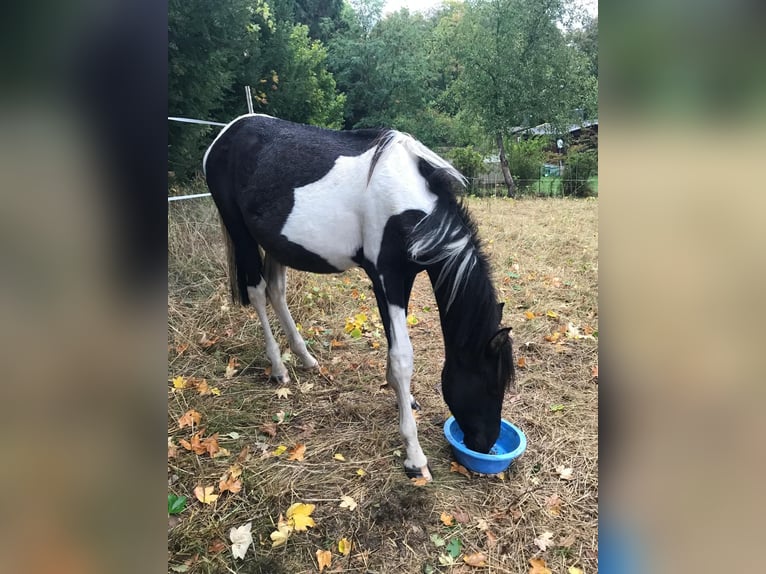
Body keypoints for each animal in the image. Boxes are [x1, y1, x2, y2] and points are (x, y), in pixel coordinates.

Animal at [203, 114, 515, 481]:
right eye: (491, 385)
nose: (485, 444)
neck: (408, 205)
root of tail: (228, 132)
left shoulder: (402, 278)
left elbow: (395, 348)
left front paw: (403, 398)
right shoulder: (386, 278)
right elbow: (402, 356)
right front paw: (415, 457)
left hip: (276, 243)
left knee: (277, 291)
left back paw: (306, 359)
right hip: (239, 231)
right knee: (257, 291)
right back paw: (279, 368)